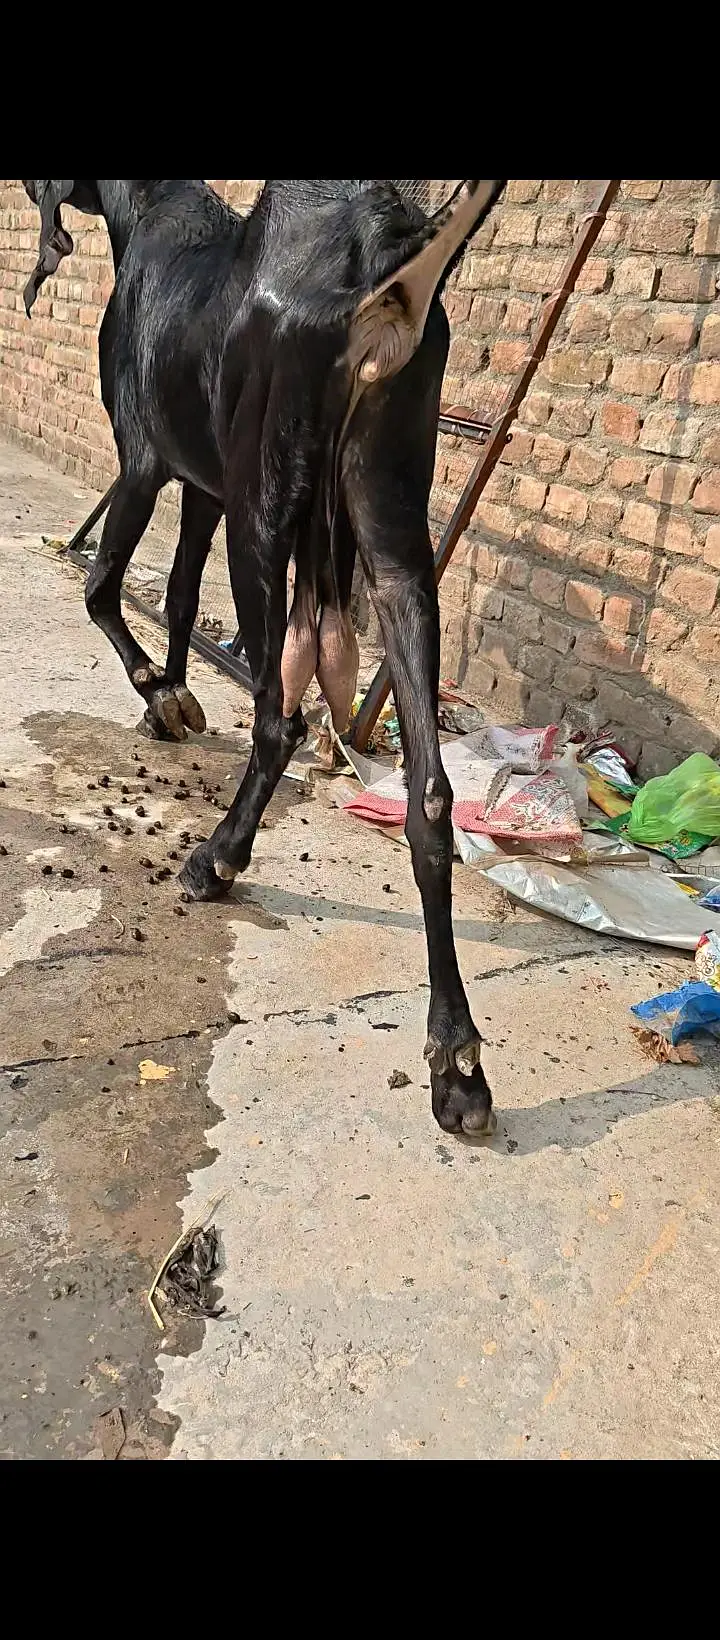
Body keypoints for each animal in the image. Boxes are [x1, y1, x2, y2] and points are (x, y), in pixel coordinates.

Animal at [22, 177, 505, 1137]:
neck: (150, 211)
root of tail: (385, 255)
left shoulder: (146, 462)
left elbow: (100, 585)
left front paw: (157, 691)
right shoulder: (200, 486)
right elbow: (176, 593)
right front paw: (171, 695)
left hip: (263, 507)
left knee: (280, 722)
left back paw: (217, 859)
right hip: (391, 526)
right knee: (430, 792)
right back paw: (456, 1062)